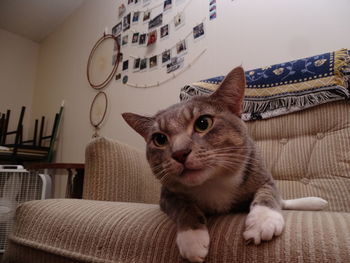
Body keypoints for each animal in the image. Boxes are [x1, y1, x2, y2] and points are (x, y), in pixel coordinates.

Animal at [121, 67, 328, 262]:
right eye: (160, 139)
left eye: (203, 123)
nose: (179, 153)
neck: (213, 182)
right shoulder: (166, 195)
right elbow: (183, 207)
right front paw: (192, 239)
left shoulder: (261, 174)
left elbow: (268, 193)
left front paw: (262, 222)